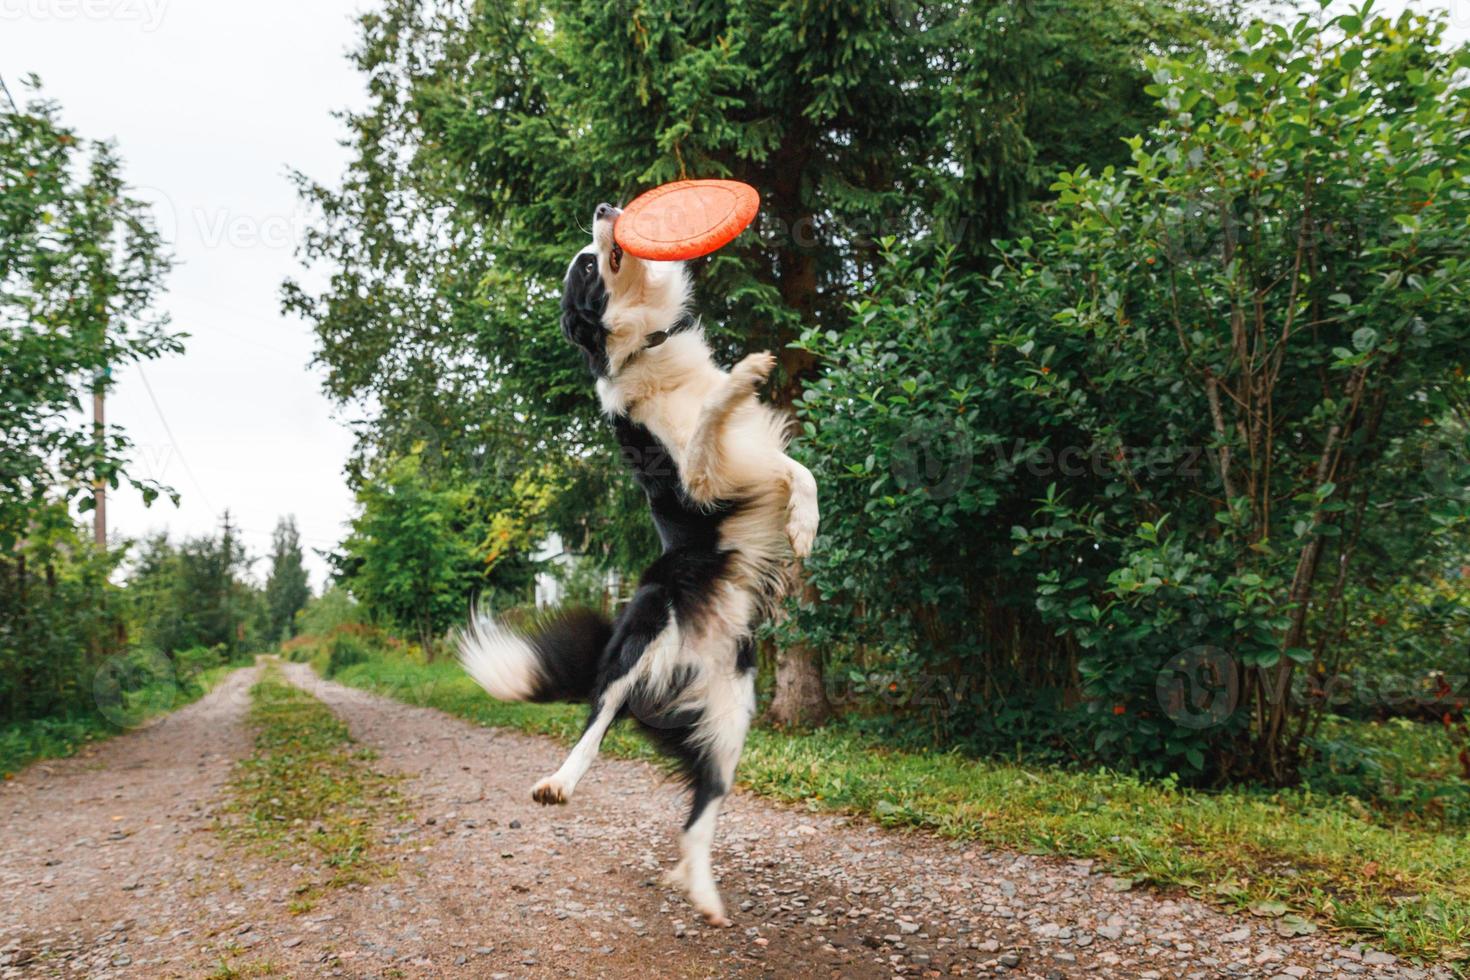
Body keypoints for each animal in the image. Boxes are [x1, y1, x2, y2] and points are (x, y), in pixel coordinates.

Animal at [458, 202, 823, 922]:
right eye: (583, 266)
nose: (605, 209)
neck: (649, 344)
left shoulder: (753, 461)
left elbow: (800, 471)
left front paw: (805, 526)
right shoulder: (696, 480)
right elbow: (714, 415)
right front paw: (745, 374)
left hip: (731, 716)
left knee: (699, 813)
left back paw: (704, 894)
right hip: (645, 629)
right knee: (596, 722)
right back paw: (559, 782)